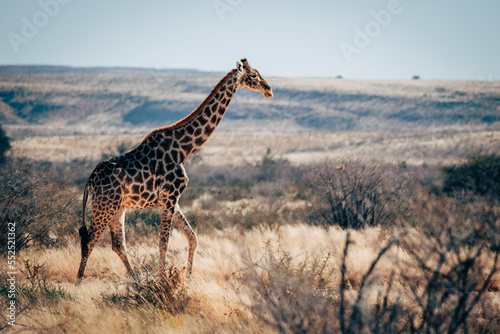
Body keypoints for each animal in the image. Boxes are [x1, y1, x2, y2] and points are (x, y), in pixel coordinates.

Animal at [77, 59, 274, 280]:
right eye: (254, 75)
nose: (269, 89)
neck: (183, 150)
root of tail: (90, 181)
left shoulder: (172, 199)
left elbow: (193, 237)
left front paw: (186, 278)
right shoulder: (170, 196)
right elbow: (164, 242)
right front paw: (164, 280)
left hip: (117, 207)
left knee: (118, 245)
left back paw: (136, 280)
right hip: (104, 206)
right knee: (89, 241)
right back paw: (79, 282)